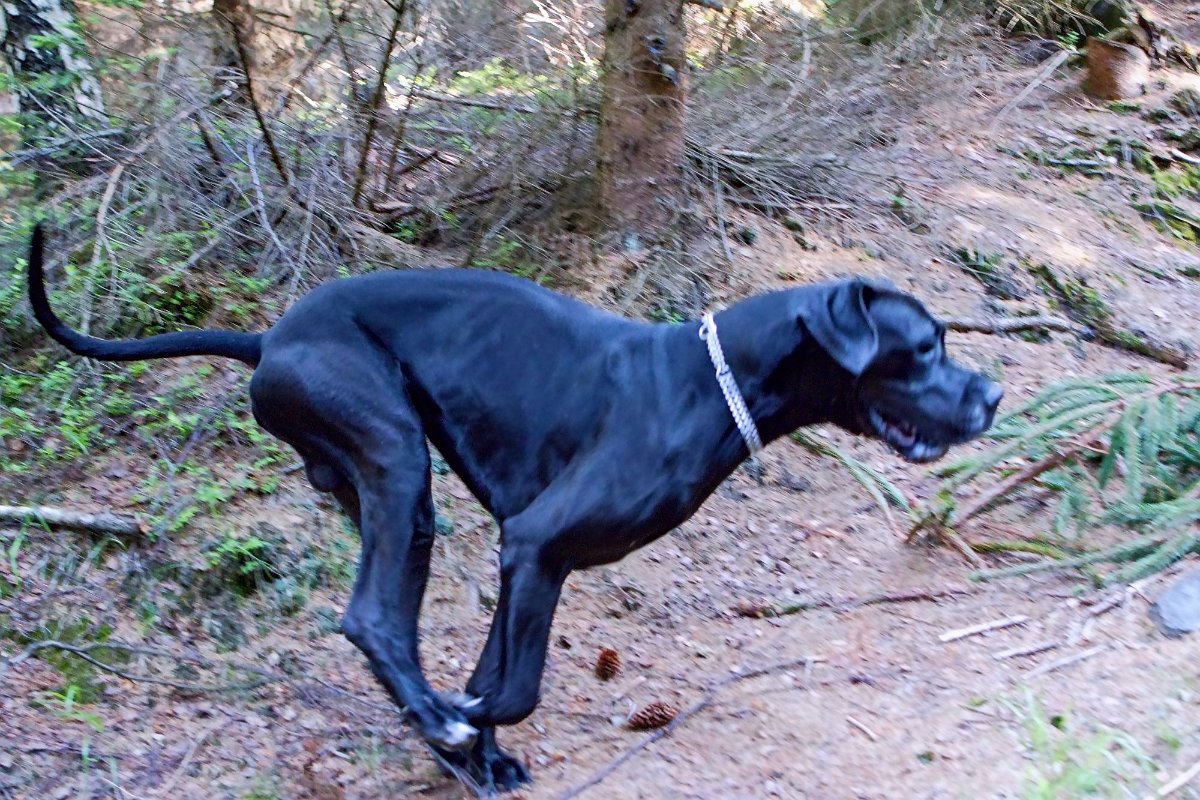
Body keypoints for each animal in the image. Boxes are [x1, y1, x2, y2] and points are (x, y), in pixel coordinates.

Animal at [28, 224, 1003, 786]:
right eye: (923, 347)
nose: (993, 395)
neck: (711, 381)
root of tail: (269, 336)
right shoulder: (537, 543)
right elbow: (515, 687)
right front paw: (463, 730)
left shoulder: (528, 558)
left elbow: (497, 670)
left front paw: (481, 757)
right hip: (394, 458)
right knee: (370, 618)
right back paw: (434, 721)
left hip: (388, 497)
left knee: (393, 623)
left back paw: (438, 729)